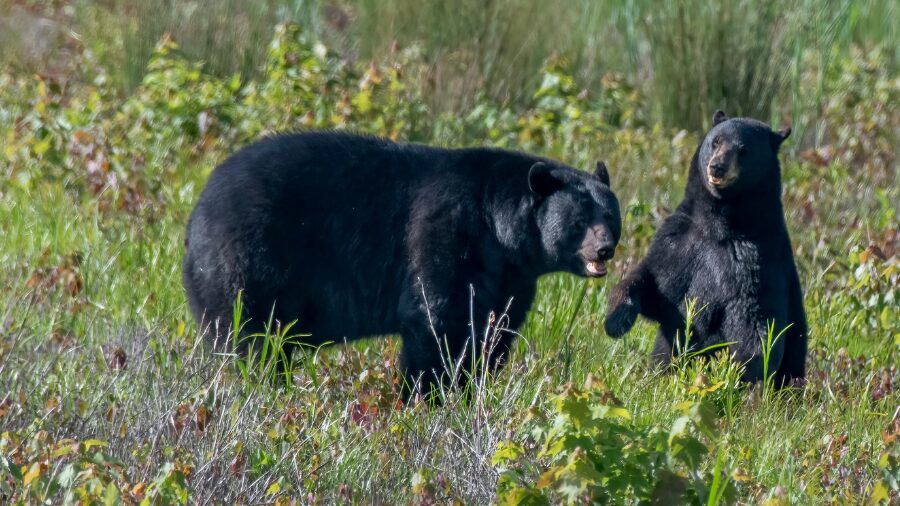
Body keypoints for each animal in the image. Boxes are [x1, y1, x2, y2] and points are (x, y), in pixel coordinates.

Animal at [183, 131, 621, 396]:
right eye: (580, 220)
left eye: (611, 215)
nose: (604, 250)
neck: (499, 231)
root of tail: (197, 209)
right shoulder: (448, 232)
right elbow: (439, 318)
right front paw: (428, 393)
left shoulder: (511, 276)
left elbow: (495, 325)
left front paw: (474, 380)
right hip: (250, 260)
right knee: (249, 333)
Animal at [603, 110, 807, 387]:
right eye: (716, 141)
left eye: (744, 150)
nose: (717, 166)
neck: (718, 225)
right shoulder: (678, 242)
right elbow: (651, 284)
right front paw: (617, 318)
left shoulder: (758, 259)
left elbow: (757, 321)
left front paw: (748, 374)